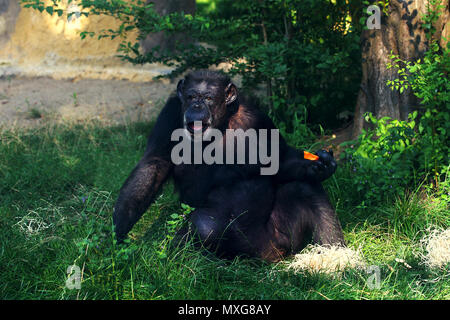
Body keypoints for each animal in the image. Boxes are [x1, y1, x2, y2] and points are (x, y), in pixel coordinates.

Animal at [112, 69, 344, 262]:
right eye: (191, 97)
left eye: (208, 98)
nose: (197, 106)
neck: (221, 123)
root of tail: (268, 257)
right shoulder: (168, 114)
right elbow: (154, 163)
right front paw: (118, 236)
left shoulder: (261, 119)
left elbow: (280, 159)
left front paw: (322, 166)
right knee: (204, 225)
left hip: (281, 239)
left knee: (304, 187)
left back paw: (337, 258)